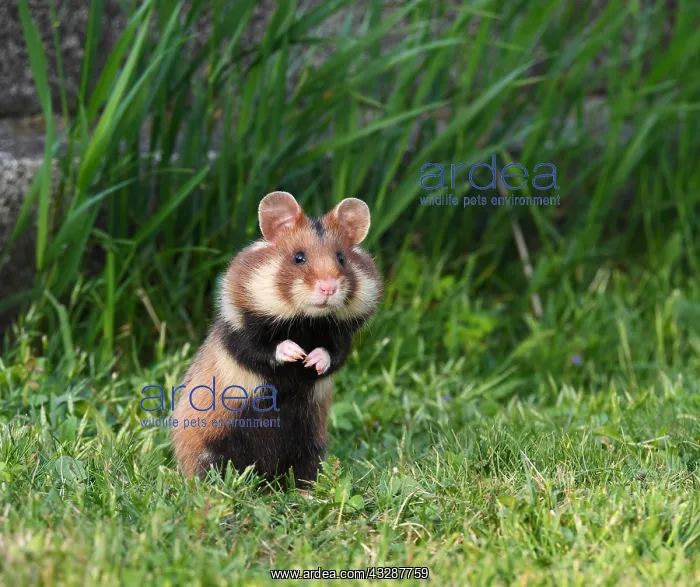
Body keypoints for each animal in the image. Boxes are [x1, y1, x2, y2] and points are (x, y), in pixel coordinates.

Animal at [171, 191, 382, 487]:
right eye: (299, 258)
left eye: (341, 258)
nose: (328, 288)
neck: (306, 322)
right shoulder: (239, 333)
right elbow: (262, 348)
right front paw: (296, 353)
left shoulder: (342, 338)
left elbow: (334, 354)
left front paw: (312, 360)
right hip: (209, 443)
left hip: (311, 444)